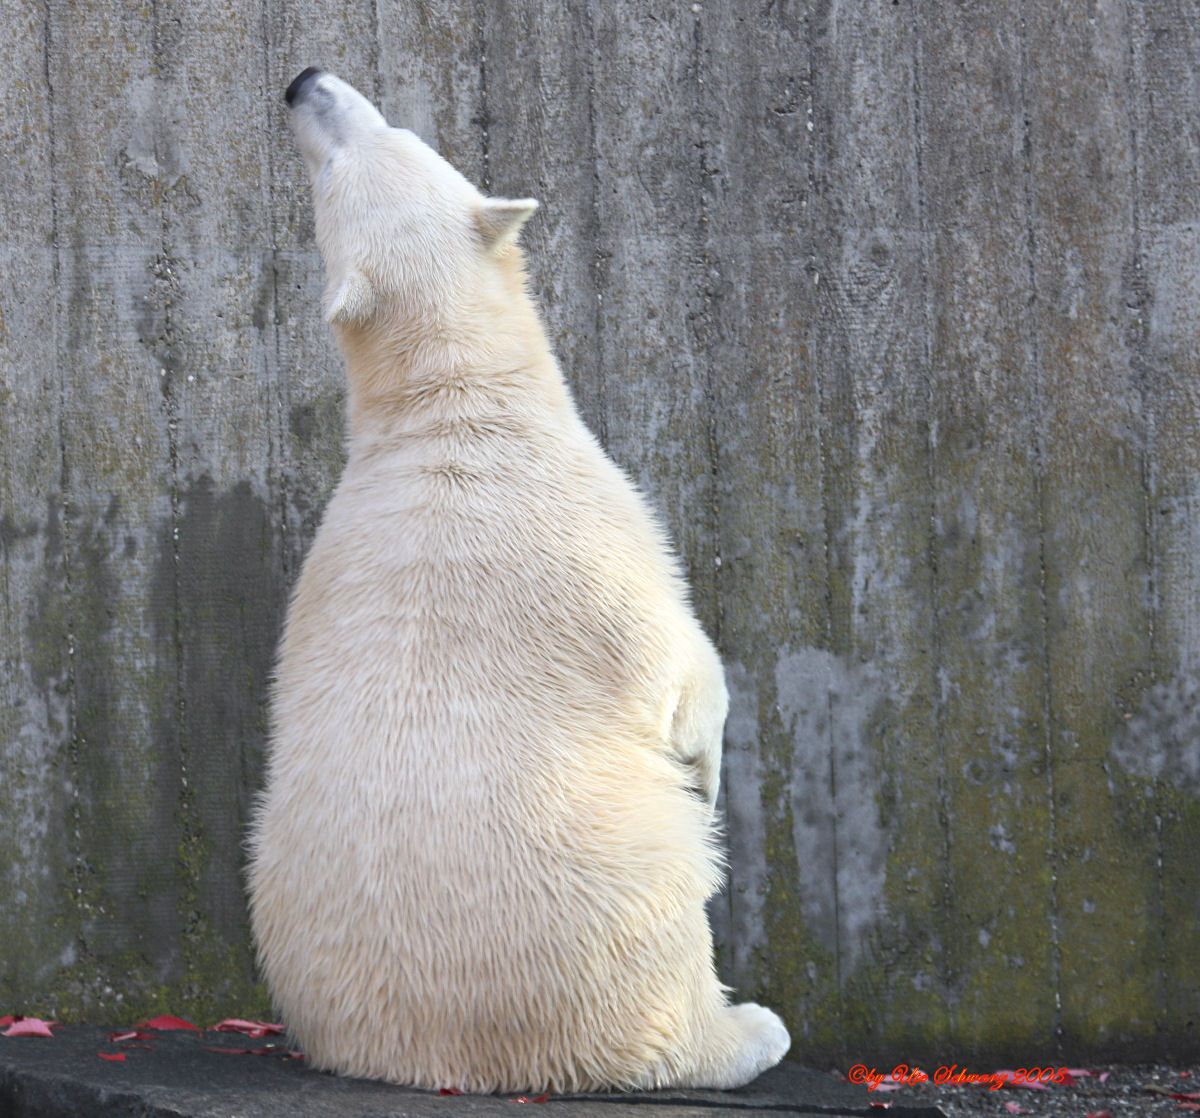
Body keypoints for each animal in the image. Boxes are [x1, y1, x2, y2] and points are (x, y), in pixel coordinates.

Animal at [244, 67, 792, 1094]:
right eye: (340, 163)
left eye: (376, 130)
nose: (303, 82)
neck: (453, 405)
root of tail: (467, 1057)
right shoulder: (600, 533)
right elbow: (685, 672)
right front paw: (709, 768)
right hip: (611, 885)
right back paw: (748, 1030)